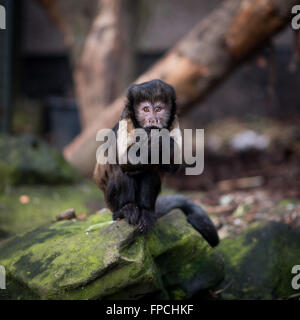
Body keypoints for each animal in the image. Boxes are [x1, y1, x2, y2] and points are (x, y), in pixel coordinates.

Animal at [92, 79, 219, 248]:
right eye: (146, 109)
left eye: (158, 109)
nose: (153, 120)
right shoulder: (126, 117)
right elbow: (125, 161)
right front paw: (152, 140)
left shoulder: (174, 120)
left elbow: (173, 166)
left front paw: (161, 141)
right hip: (110, 202)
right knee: (123, 171)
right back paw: (125, 209)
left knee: (150, 171)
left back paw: (146, 212)